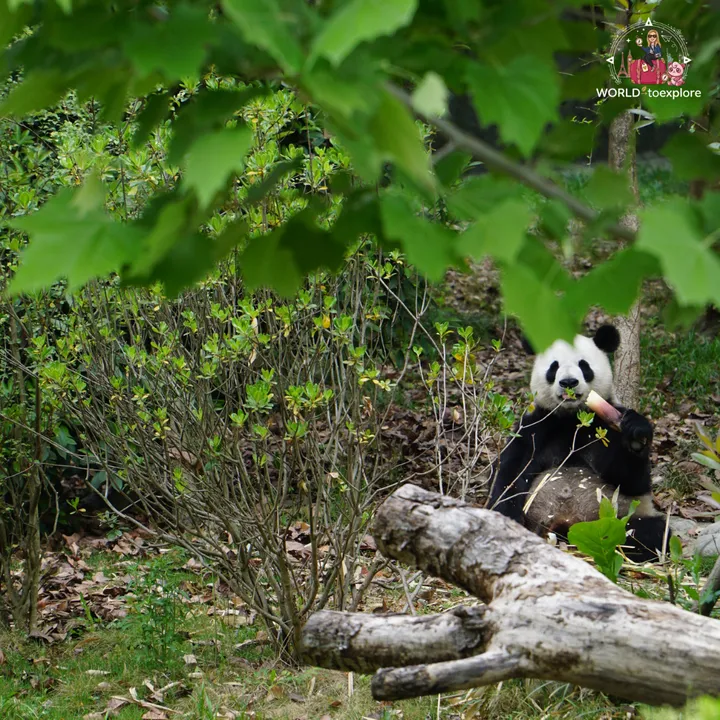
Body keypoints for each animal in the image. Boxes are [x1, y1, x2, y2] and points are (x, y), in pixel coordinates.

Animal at [488, 324, 669, 562]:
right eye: (553, 367)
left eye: (584, 365)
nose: (568, 382)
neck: (572, 418)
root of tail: (567, 525)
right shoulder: (536, 425)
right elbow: (511, 472)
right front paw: (506, 519)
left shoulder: (604, 425)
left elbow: (631, 481)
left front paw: (636, 437)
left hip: (622, 515)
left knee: (649, 532)